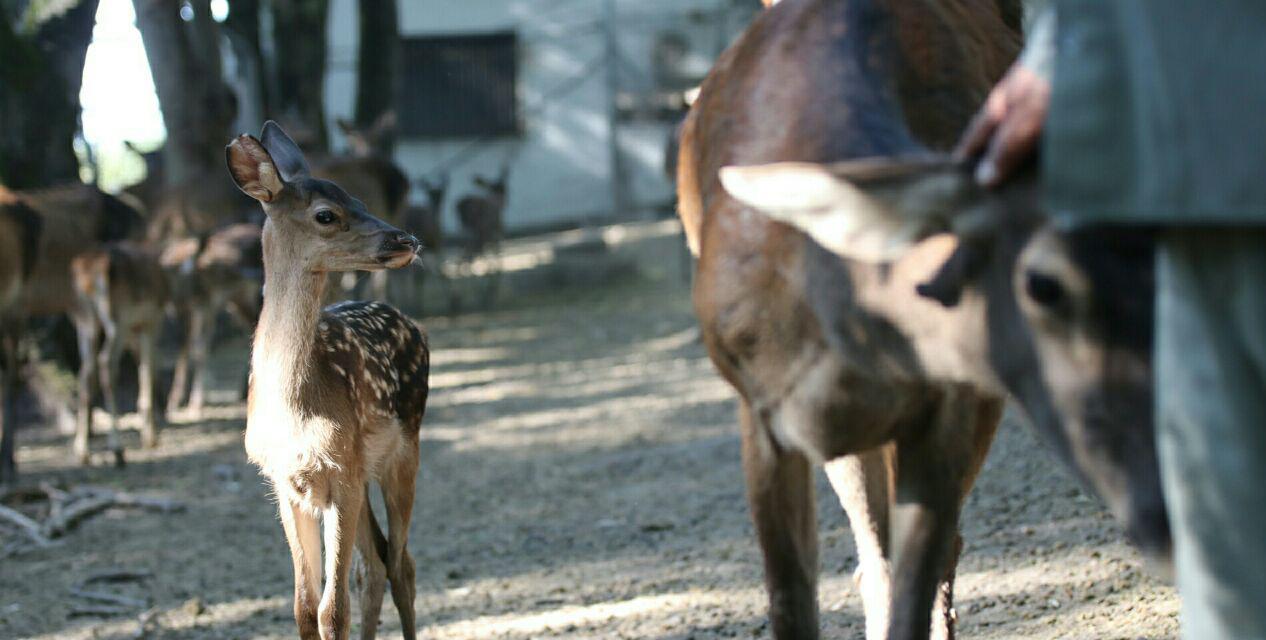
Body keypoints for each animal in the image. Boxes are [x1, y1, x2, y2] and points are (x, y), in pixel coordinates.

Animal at [232, 121, 435, 640]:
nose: (407, 239)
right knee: (376, 564)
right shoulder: (287, 482)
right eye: (327, 214)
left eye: (361, 198)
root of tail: (412, 324)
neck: (295, 408)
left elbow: (332, 610)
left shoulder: (340, 471)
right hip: (362, 473)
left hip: (403, 449)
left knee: (401, 563)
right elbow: (304, 607)